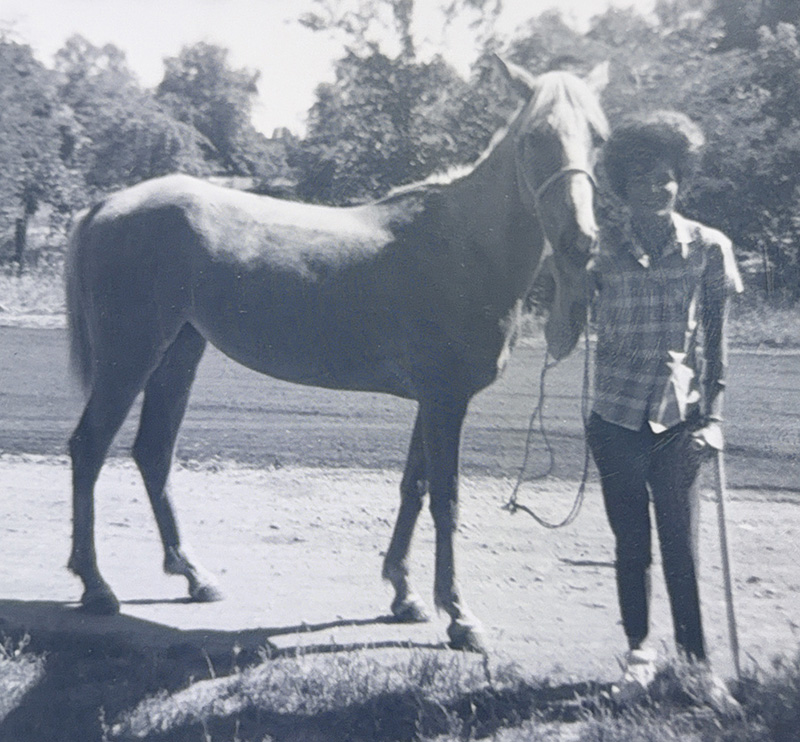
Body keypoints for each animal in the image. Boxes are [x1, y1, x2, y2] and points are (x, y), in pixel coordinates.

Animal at [64, 57, 608, 651]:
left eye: (599, 138)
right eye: (535, 137)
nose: (581, 240)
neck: (463, 245)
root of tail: (105, 206)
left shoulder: (432, 401)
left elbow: (414, 488)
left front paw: (404, 595)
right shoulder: (447, 400)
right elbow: (446, 499)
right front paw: (460, 616)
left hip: (178, 354)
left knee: (153, 453)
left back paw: (194, 576)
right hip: (130, 357)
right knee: (89, 449)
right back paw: (97, 587)